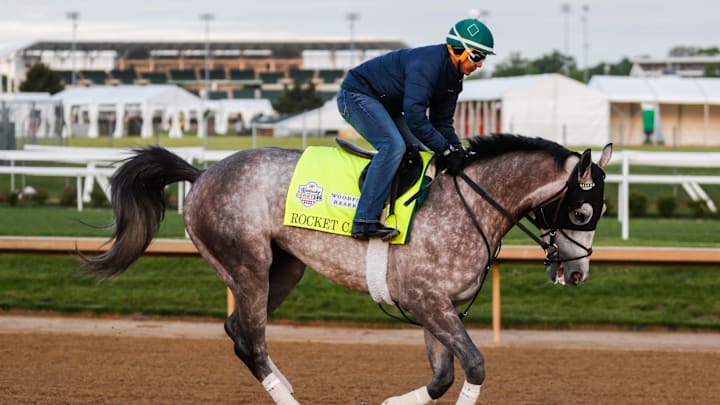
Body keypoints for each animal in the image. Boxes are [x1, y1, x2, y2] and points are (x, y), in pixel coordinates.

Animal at [81, 133, 612, 404]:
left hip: (284, 269)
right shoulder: (426, 300)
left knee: (238, 330)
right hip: (247, 264)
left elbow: (442, 377)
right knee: (250, 338)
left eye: (600, 212)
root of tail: (202, 173)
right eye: (582, 211)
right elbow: (475, 366)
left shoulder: (438, 307)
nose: (577, 273)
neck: (469, 205)